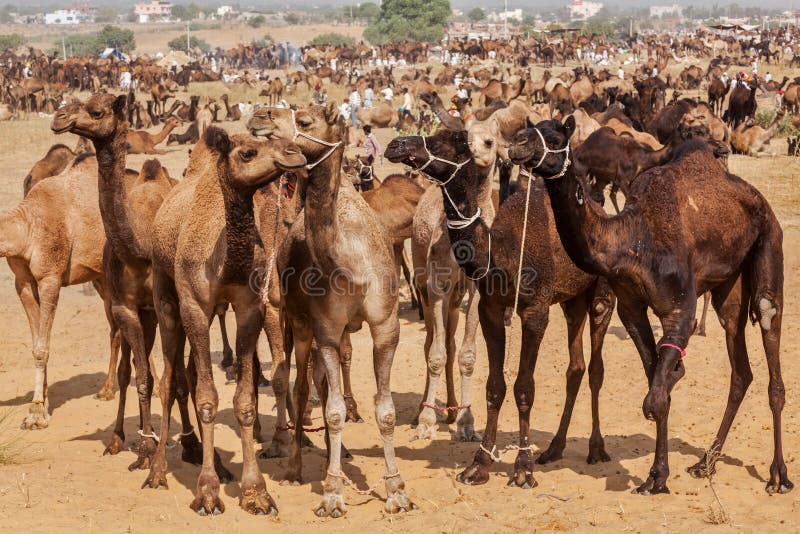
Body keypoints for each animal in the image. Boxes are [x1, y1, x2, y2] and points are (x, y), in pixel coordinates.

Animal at [147, 126, 306, 514]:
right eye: (248, 152)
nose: (294, 152)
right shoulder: (193, 306)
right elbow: (206, 398)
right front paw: (207, 492)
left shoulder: (251, 307)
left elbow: (244, 401)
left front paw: (256, 491)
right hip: (165, 295)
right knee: (169, 378)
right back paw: (157, 471)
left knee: (188, 372)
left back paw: (218, 464)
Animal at [246, 103, 414, 517]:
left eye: (305, 121)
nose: (259, 115)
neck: (352, 265)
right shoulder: (324, 328)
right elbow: (335, 409)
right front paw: (333, 494)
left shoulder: (386, 326)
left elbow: (385, 410)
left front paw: (396, 489)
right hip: (300, 324)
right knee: (304, 387)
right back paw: (295, 466)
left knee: (320, 384)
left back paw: (327, 459)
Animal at [386, 128, 615, 489]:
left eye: (444, 142)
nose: (396, 145)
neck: (500, 251)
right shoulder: (491, 309)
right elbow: (494, 387)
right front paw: (478, 464)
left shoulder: (535, 311)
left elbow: (524, 387)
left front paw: (523, 469)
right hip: (572, 300)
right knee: (575, 366)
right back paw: (554, 448)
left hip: (601, 296)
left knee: (595, 368)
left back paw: (595, 449)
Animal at [511, 116, 792, 496]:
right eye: (532, 127)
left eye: (555, 136)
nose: (518, 143)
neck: (632, 240)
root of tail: (756, 198)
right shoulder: (631, 307)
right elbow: (656, 385)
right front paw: (658, 474)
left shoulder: (679, 310)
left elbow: (655, 398)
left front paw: (657, 476)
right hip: (730, 283)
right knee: (740, 364)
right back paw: (705, 462)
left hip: (769, 240)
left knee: (767, 324)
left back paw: (778, 474)